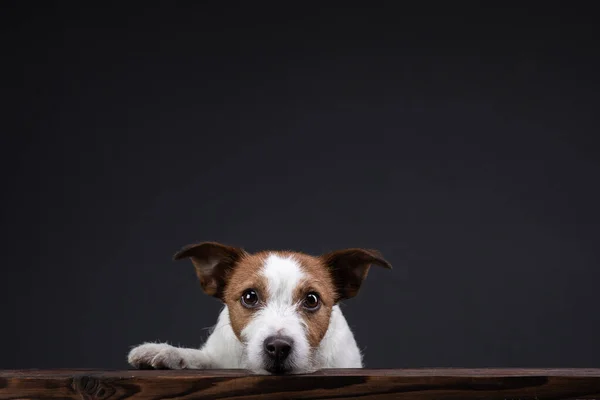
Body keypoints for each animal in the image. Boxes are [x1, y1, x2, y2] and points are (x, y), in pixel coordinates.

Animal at [127, 241, 390, 376]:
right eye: (250, 296)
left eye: (312, 299)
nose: (278, 347)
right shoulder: (220, 358)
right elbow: (202, 358)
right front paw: (165, 352)